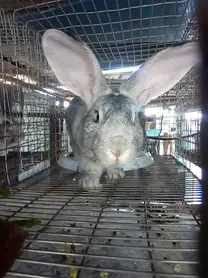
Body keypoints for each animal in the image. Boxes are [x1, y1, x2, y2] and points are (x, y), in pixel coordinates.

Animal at [42, 29, 200, 191]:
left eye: (134, 118)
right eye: (96, 116)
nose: (118, 149)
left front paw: (116, 174)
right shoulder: (83, 153)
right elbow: (92, 168)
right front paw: (89, 183)